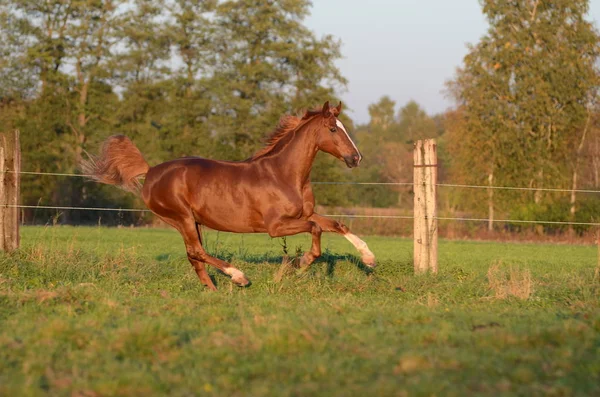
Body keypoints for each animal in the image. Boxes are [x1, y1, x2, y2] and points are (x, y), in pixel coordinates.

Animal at [82, 100, 378, 290]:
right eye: (333, 129)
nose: (356, 158)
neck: (284, 174)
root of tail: (151, 171)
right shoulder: (276, 226)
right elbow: (316, 230)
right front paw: (301, 263)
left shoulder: (305, 213)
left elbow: (337, 224)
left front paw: (369, 258)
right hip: (181, 217)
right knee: (196, 251)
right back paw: (239, 277)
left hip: (192, 221)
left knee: (194, 256)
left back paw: (212, 291)